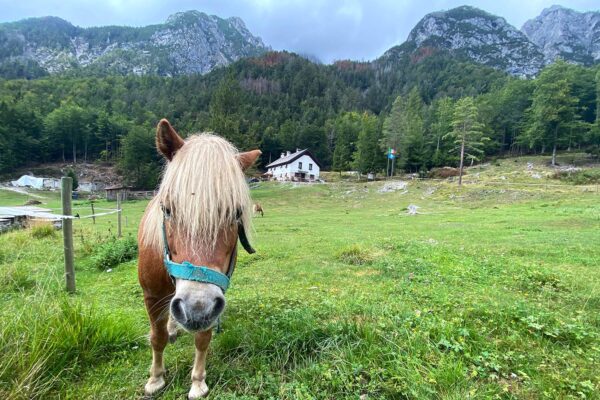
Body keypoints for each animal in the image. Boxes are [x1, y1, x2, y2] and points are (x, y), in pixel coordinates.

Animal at [138, 119, 260, 396]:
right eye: (167, 209)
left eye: (236, 213)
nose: (196, 308)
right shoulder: (152, 296)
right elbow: (157, 338)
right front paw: (155, 378)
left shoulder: (213, 301)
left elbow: (203, 339)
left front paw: (197, 381)